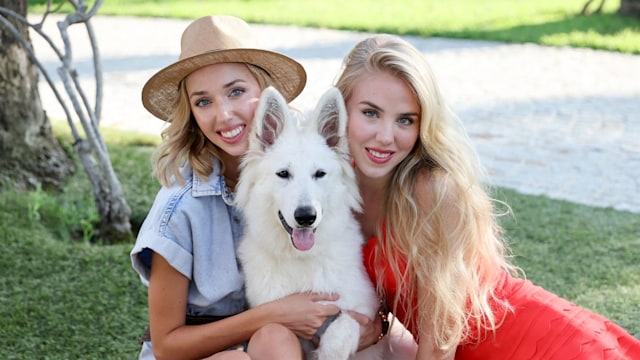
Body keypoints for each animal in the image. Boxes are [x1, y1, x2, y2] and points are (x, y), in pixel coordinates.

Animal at [235, 87, 384, 360]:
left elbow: (342, 328)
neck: (301, 259)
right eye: (283, 174)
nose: (306, 216)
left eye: (320, 174)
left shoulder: (363, 308)